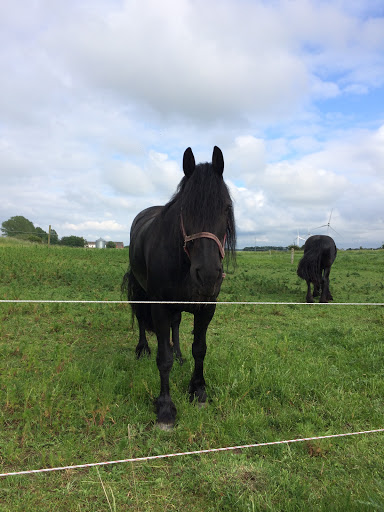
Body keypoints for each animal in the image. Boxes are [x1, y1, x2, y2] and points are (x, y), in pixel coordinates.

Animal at [123, 145, 237, 428]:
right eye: (185, 208)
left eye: (226, 207)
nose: (208, 276)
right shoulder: (159, 306)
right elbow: (162, 359)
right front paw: (165, 408)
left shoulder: (207, 307)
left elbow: (200, 349)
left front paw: (198, 391)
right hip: (141, 292)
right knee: (140, 318)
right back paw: (142, 349)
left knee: (176, 325)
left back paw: (179, 353)